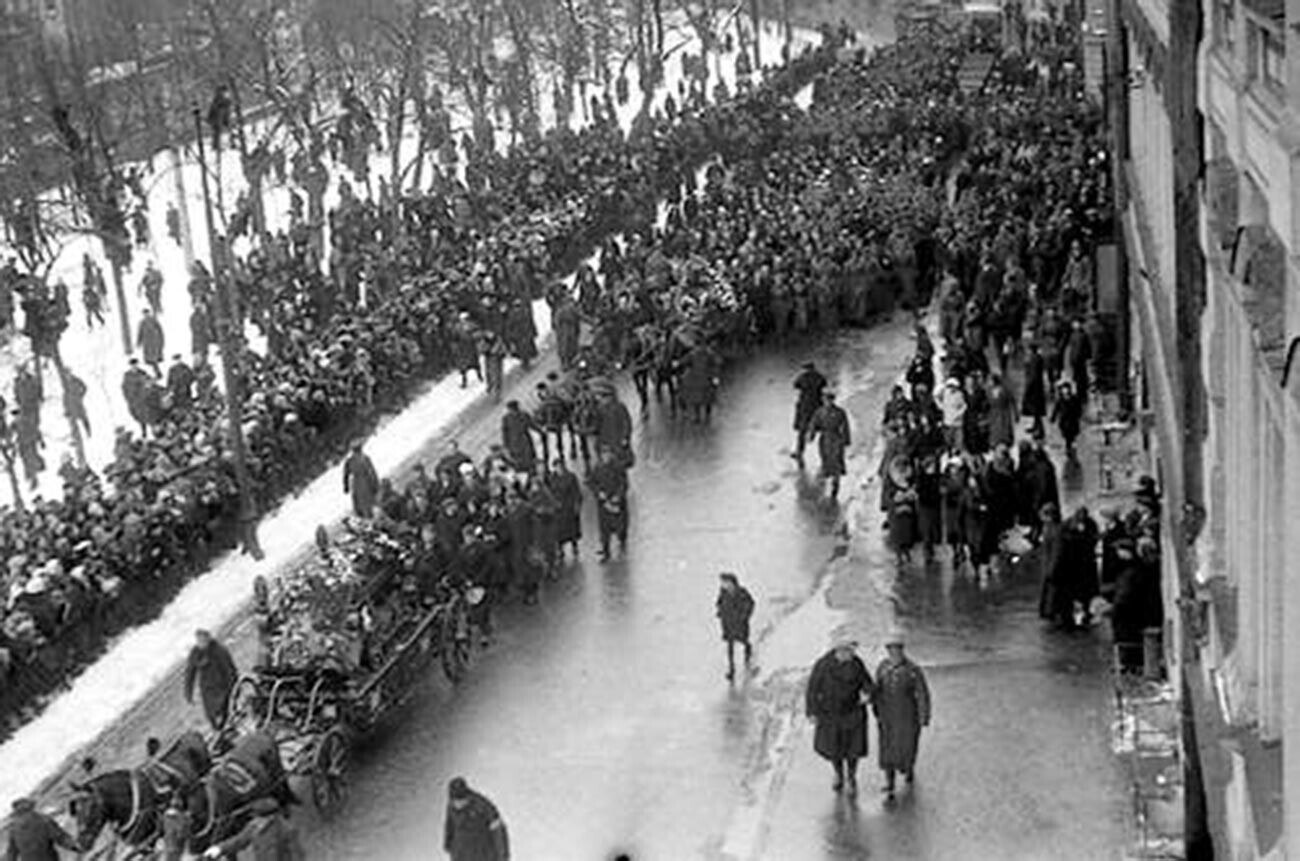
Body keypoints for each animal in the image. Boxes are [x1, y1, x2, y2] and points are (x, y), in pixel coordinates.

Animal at [69, 733, 211, 853]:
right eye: (75, 810)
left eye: (92, 805)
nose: (81, 843)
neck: (129, 803)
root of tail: (191, 733)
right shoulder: (143, 846)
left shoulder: (154, 837)